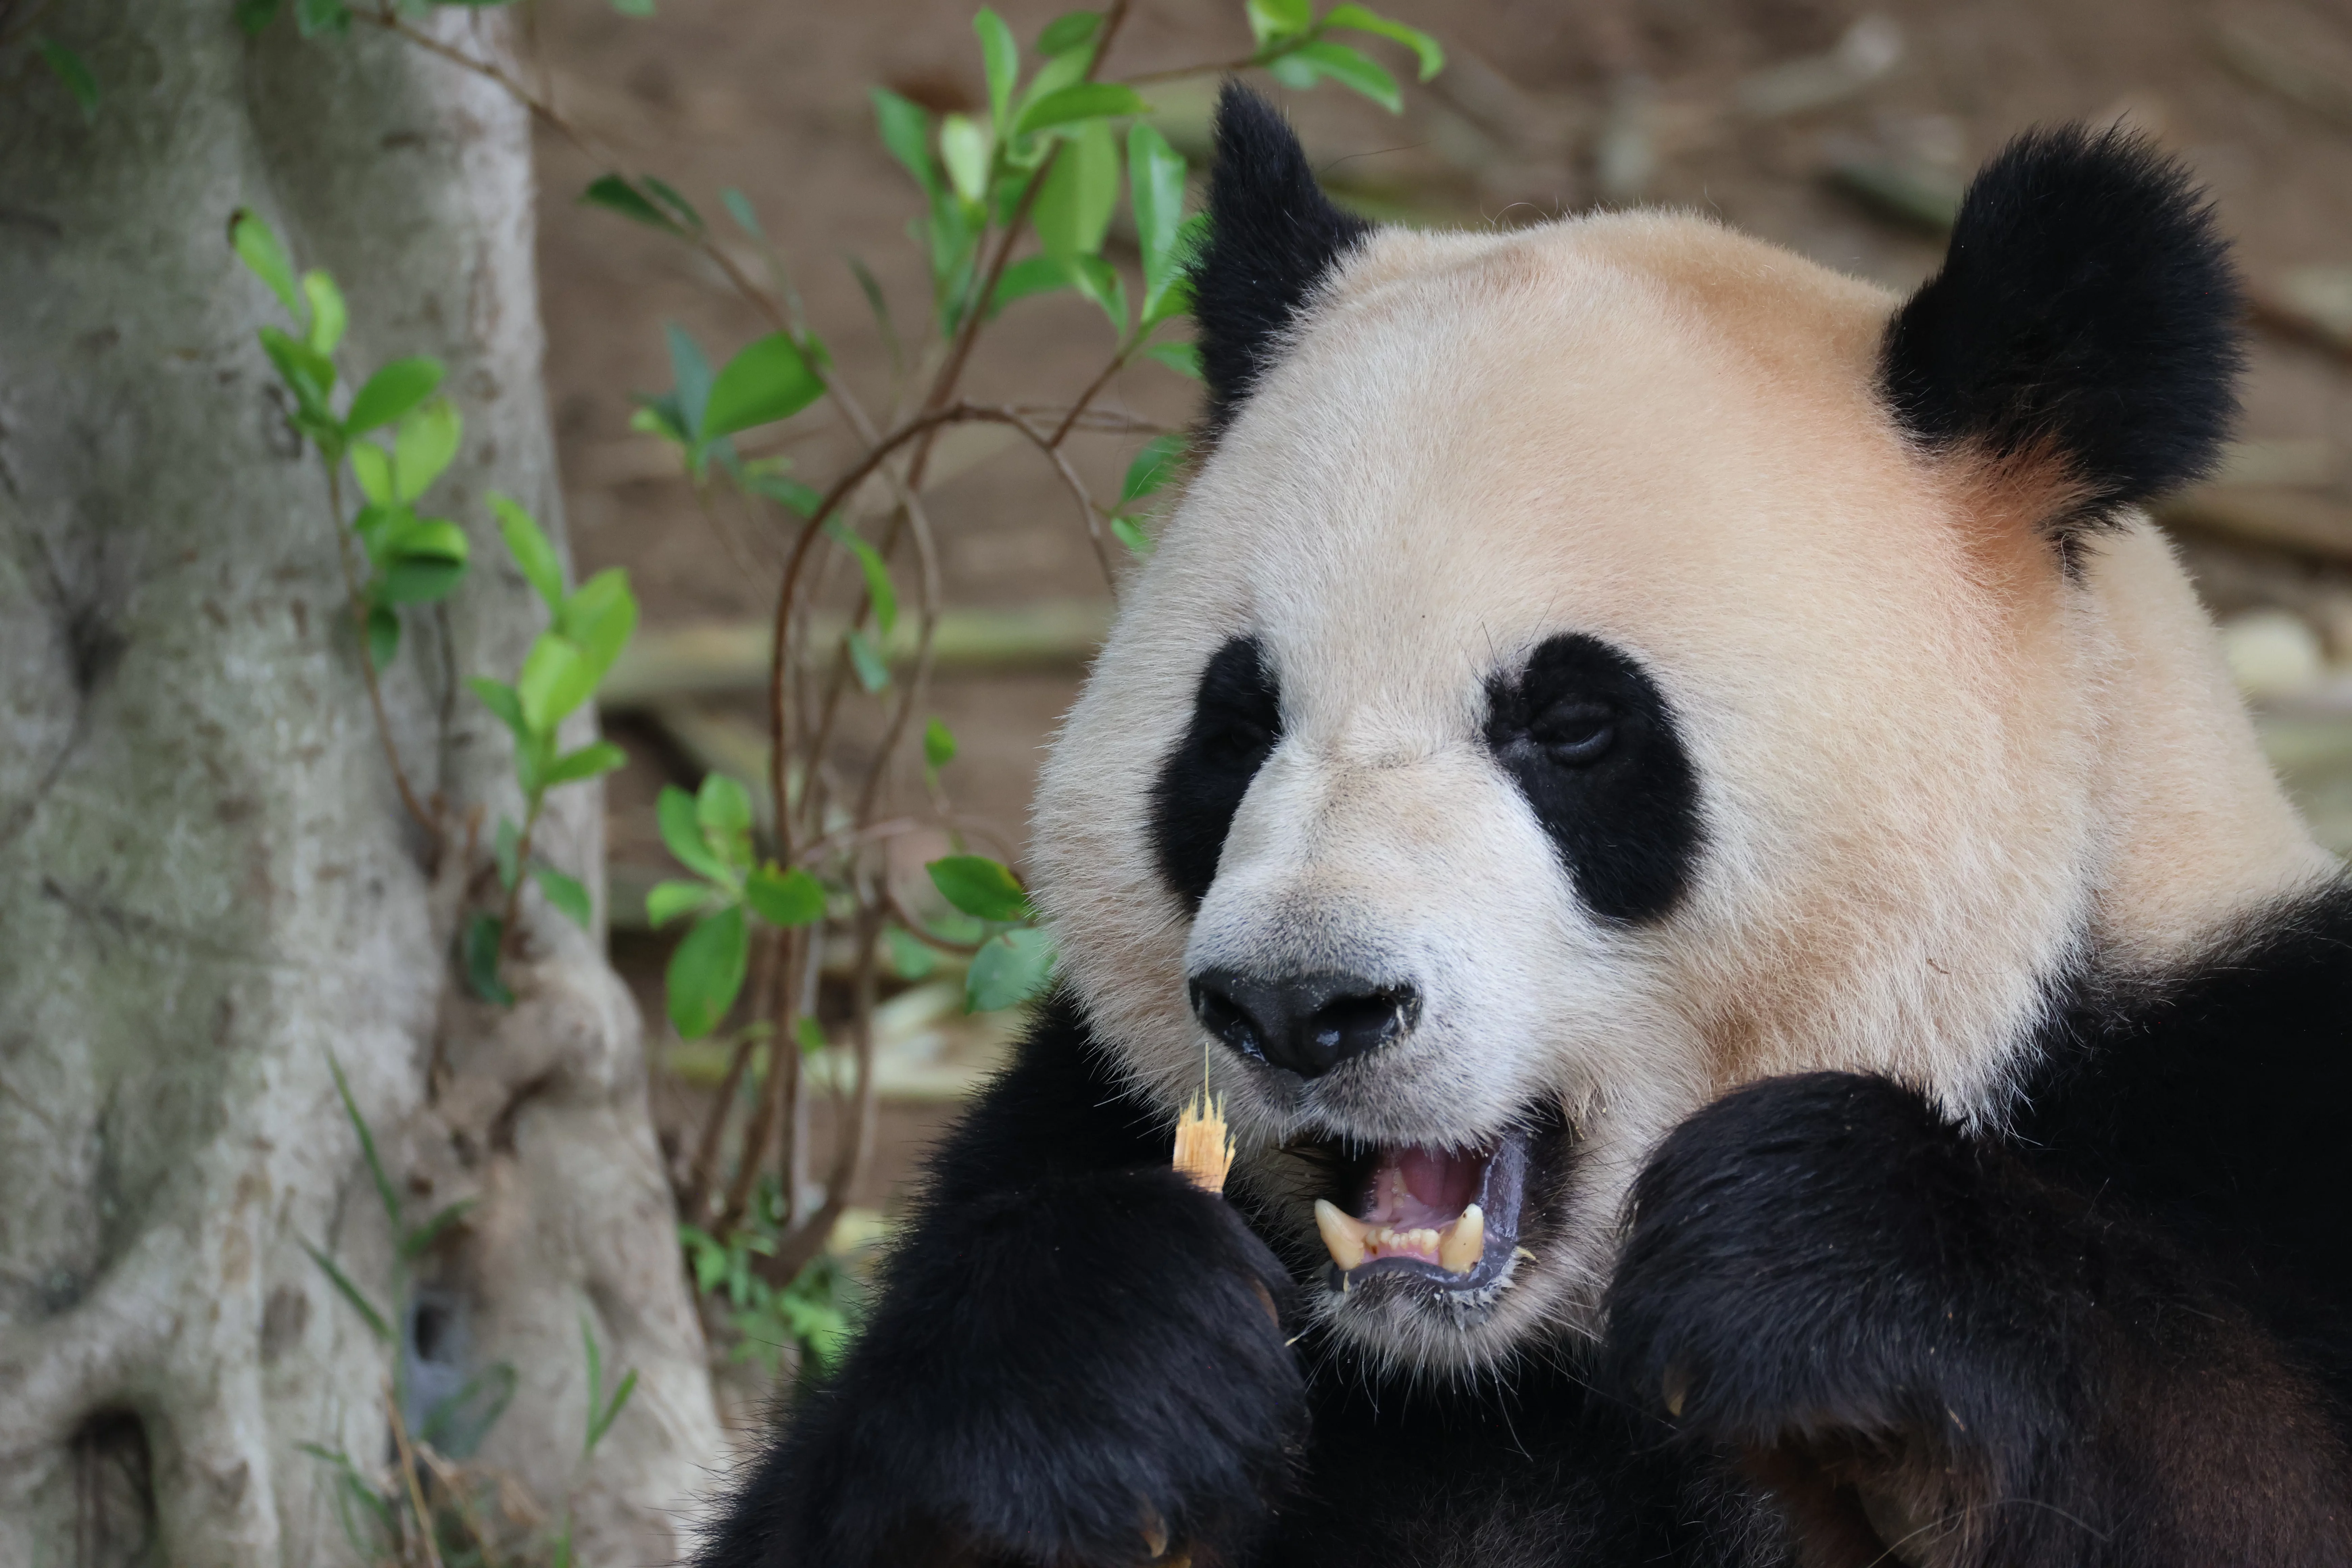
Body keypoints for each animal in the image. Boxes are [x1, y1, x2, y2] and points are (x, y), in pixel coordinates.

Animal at [698, 86, 2352, 1567]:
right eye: (1234, 726)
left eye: (1570, 726)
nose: (1299, 1003)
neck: (1495, 1371)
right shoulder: (1063, 1118)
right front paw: (1112, 1358)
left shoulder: (2242, 1083)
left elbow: (2244, 1475)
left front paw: (1818, 1262)